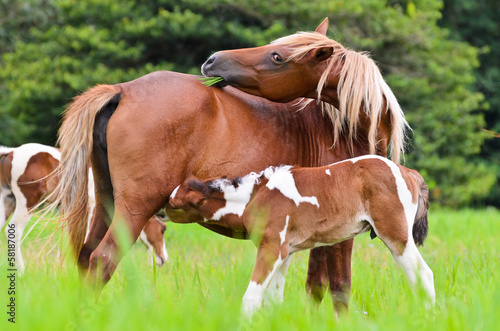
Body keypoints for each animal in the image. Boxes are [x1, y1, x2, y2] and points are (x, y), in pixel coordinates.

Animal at [0, 143, 168, 274]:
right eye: (163, 229)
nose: (163, 259)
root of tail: (11, 152)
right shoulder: (92, 208)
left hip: (8, 201)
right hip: (27, 203)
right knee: (13, 231)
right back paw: (21, 271)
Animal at [46, 19, 406, 316]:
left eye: (277, 56)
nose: (211, 60)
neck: (342, 129)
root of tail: (122, 90)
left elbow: (316, 286)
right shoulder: (341, 232)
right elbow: (339, 286)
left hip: (106, 203)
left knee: (85, 258)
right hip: (135, 209)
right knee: (102, 260)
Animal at [168, 157, 434, 318]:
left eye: (173, 204)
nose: (160, 210)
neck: (255, 197)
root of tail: (408, 172)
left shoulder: (272, 249)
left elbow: (251, 298)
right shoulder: (284, 252)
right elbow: (274, 299)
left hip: (396, 236)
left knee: (423, 274)